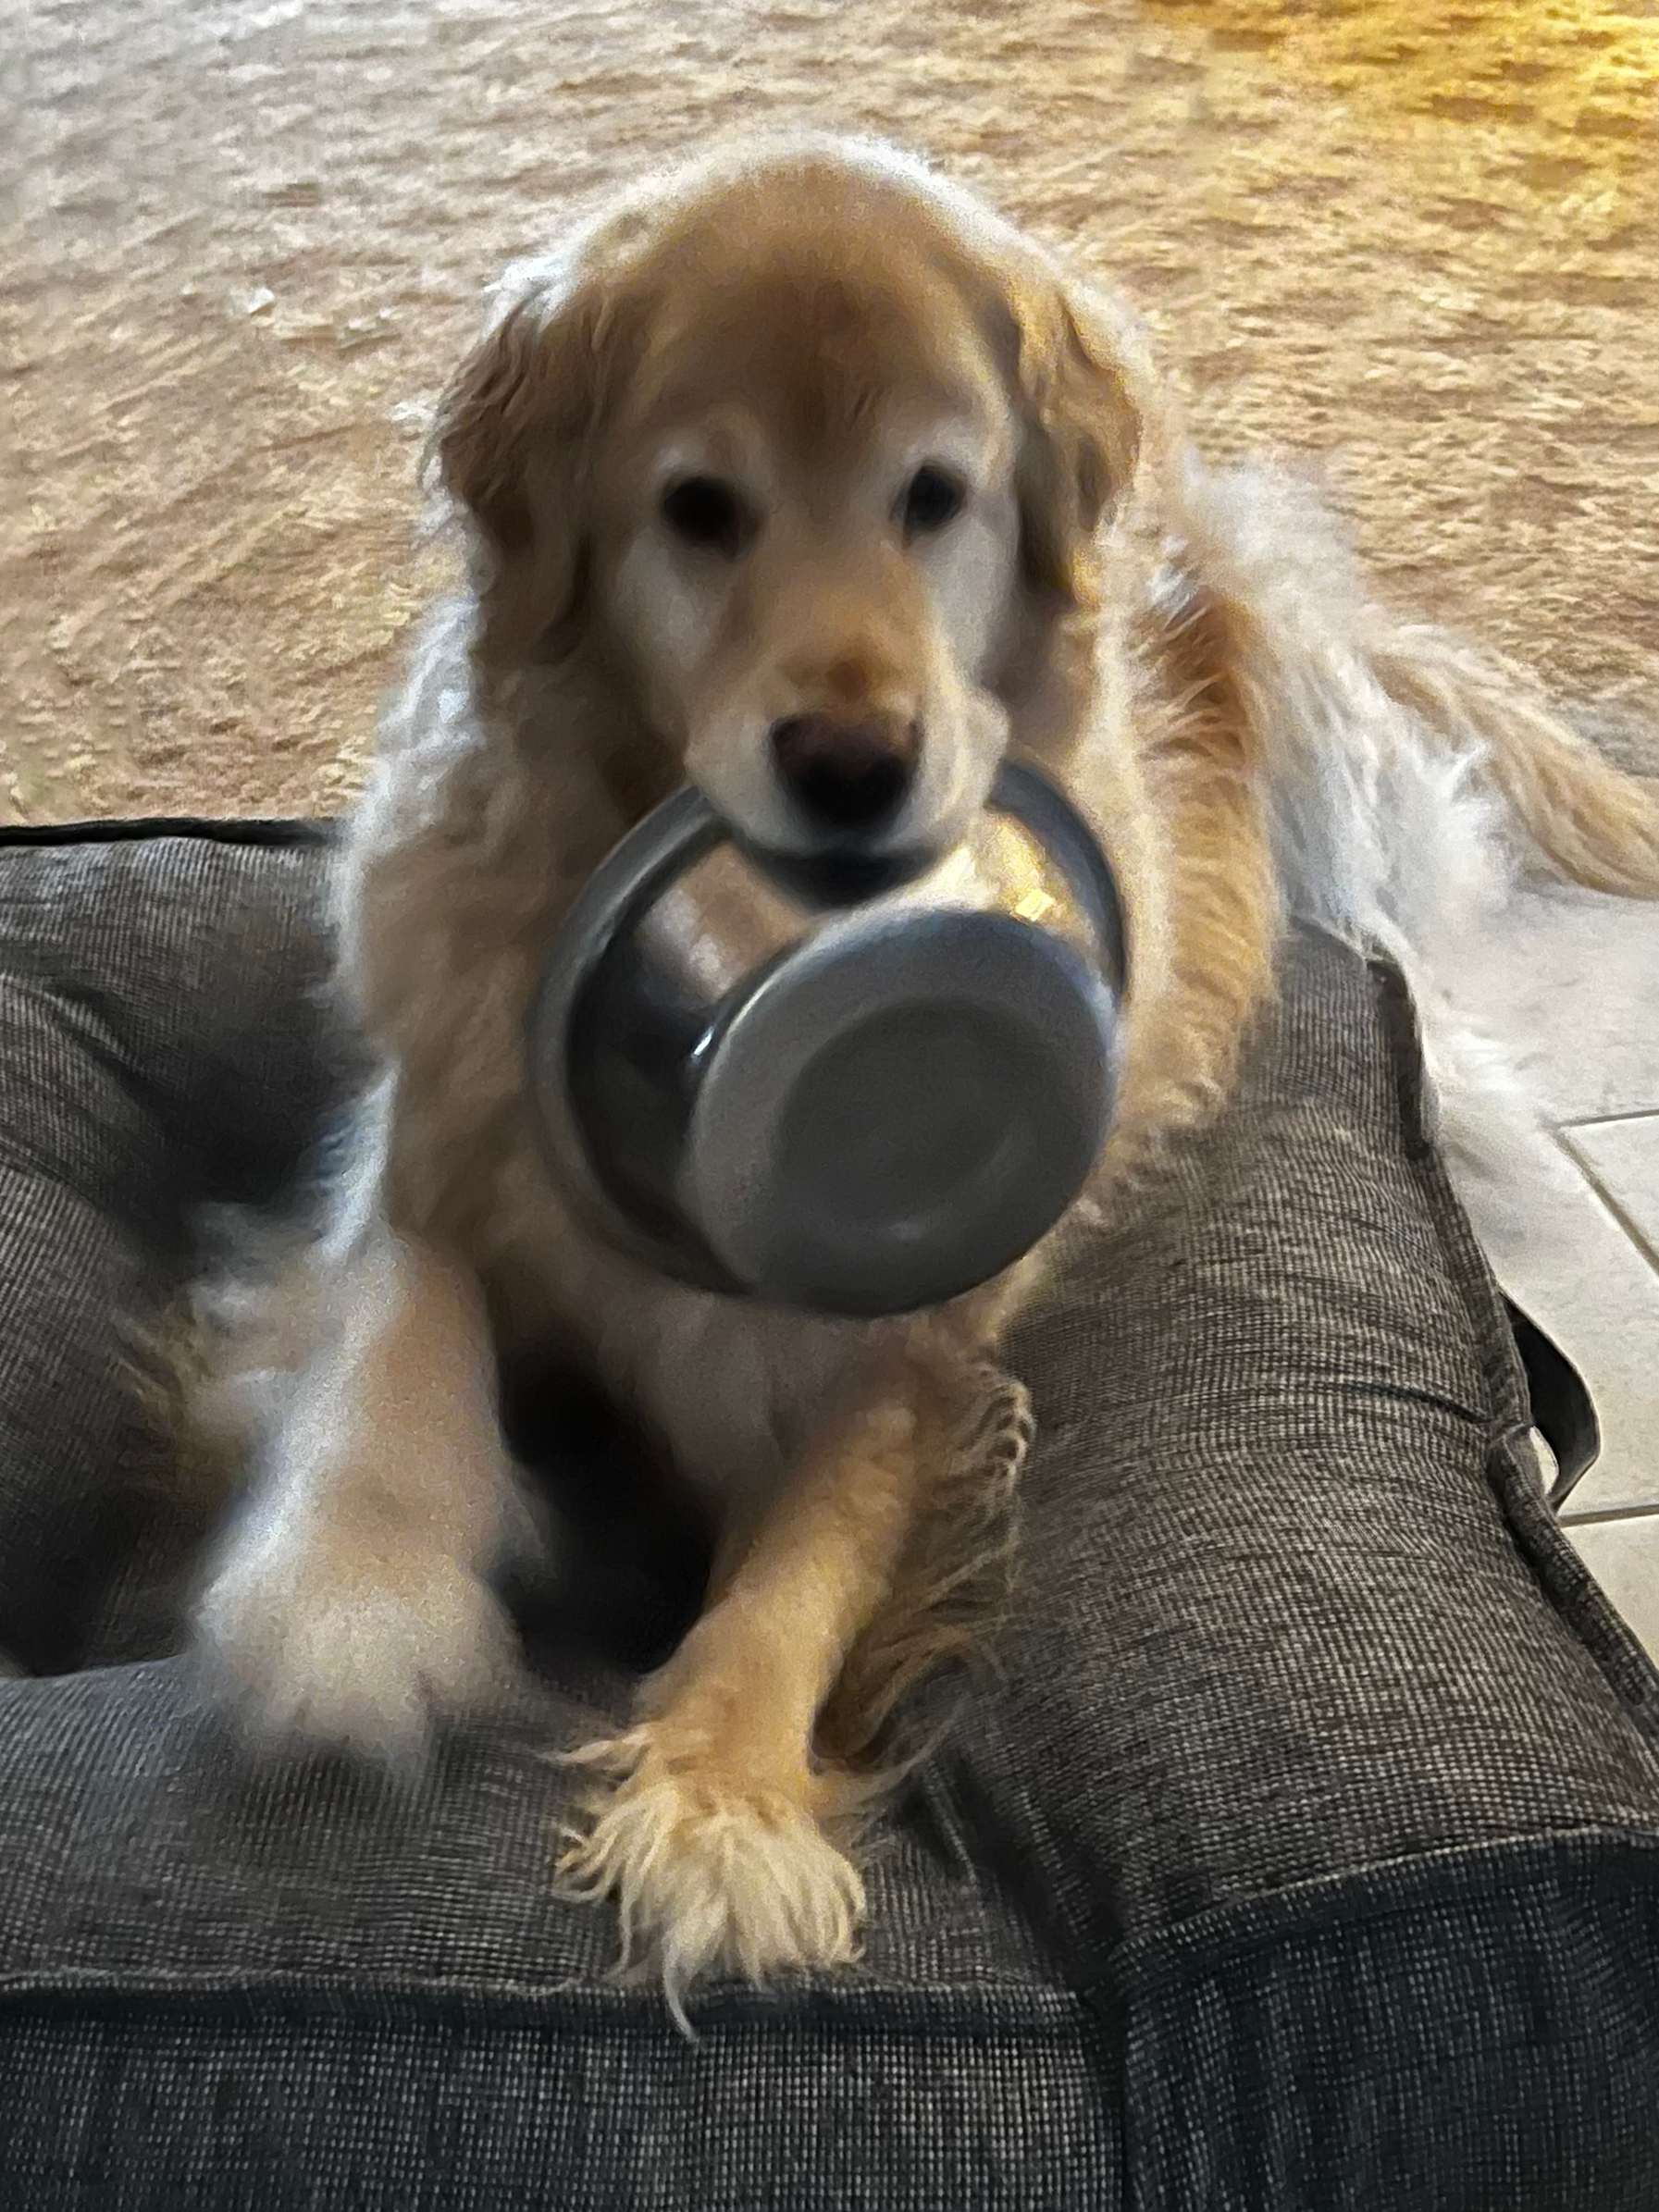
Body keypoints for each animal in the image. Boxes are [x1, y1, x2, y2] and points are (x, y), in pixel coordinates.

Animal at [181, 129, 1659, 2026]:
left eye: (933, 495)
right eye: (699, 508)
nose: (850, 763)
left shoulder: (910, 1347)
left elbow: (797, 1574)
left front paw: (721, 1799)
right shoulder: (429, 1125)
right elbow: (397, 1324)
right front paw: (350, 1589)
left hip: (1309, 747)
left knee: (1388, 922)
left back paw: (1461, 1091)